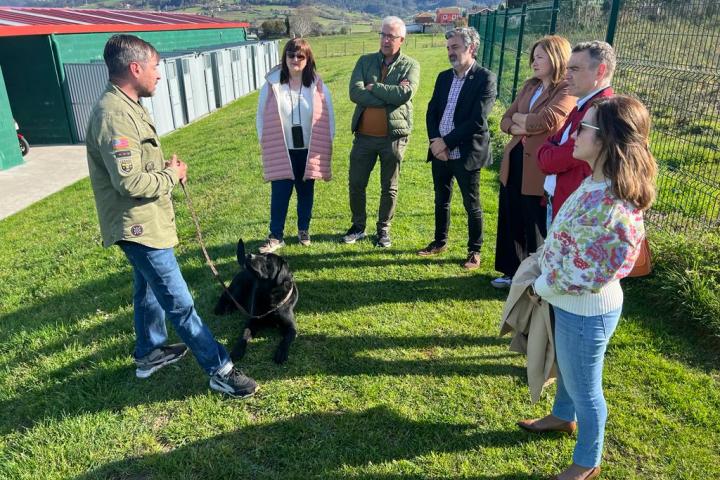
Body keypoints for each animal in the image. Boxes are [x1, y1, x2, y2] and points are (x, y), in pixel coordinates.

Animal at [214, 238, 298, 366]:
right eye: (261, 254)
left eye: (268, 260)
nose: (249, 255)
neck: (268, 295)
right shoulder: (252, 321)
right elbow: (244, 335)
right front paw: (237, 350)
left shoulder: (291, 326)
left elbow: (286, 339)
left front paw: (281, 353)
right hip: (238, 289)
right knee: (226, 294)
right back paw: (221, 308)